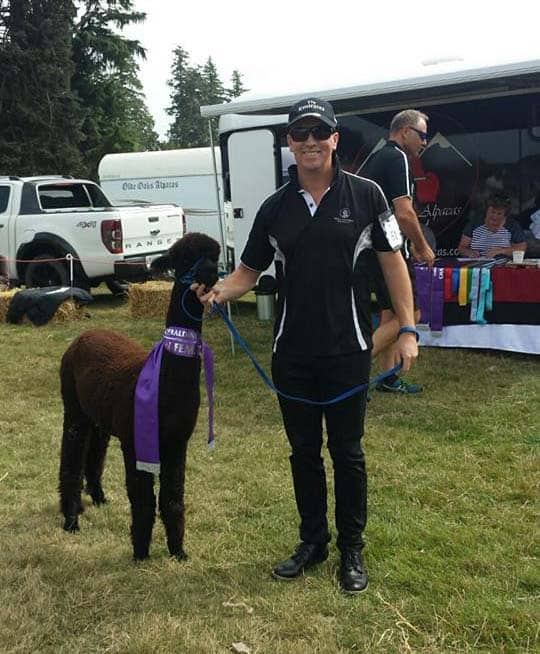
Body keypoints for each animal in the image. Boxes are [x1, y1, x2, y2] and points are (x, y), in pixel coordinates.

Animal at [58, 232, 220, 560]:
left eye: (215, 254)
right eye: (184, 257)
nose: (211, 271)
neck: (166, 389)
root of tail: (85, 334)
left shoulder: (176, 441)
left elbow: (172, 497)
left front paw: (178, 552)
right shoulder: (136, 441)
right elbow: (143, 499)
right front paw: (141, 553)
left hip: (100, 416)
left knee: (95, 451)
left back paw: (98, 497)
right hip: (74, 406)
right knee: (71, 455)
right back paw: (70, 518)